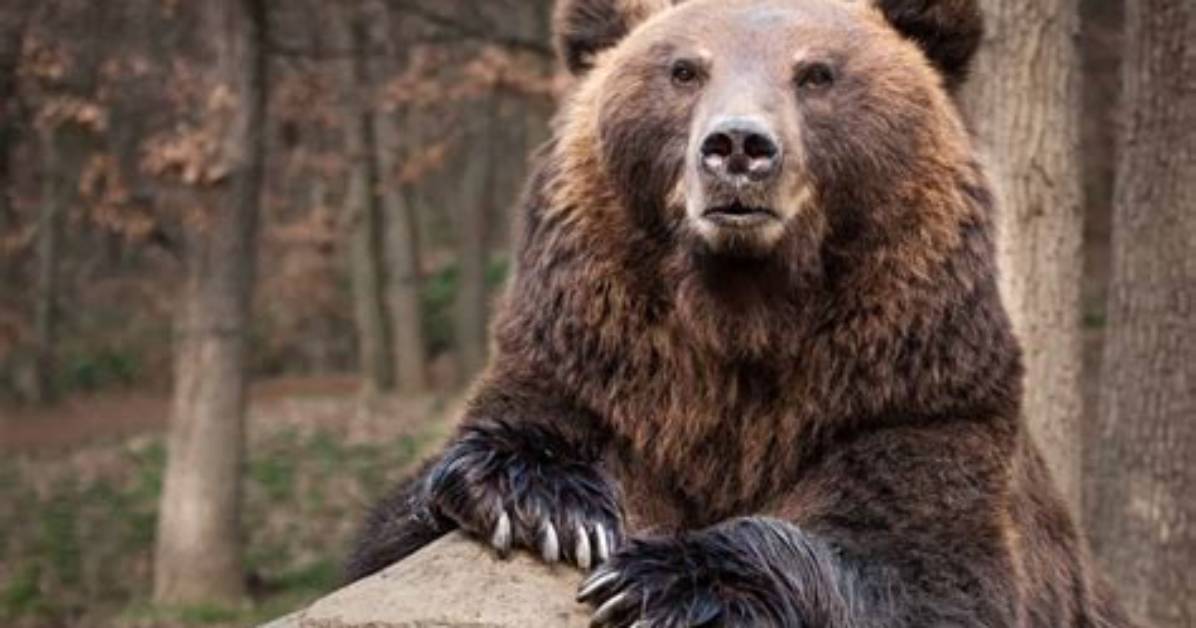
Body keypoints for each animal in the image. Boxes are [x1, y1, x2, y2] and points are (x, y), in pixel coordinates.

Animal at [347, 0, 1138, 626]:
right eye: (684, 70)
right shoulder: (596, 369)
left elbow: (925, 569)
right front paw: (542, 502)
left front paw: (666, 580)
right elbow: (409, 520)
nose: (738, 146)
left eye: (816, 73)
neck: (739, 316)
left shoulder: (912, 397)